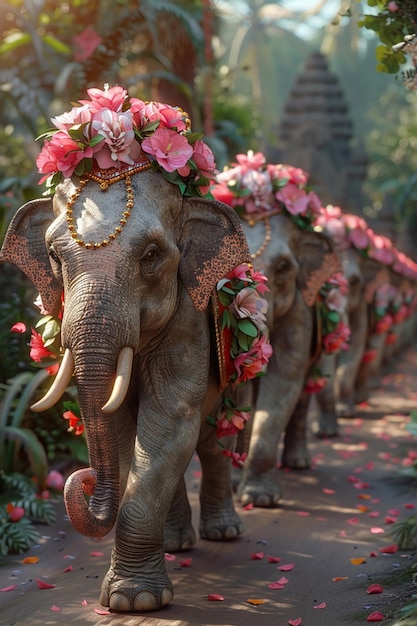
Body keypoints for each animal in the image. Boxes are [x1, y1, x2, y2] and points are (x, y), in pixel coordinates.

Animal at [0, 88, 266, 608]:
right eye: (54, 256)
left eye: (151, 256)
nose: (79, 479)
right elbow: (124, 426)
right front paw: (132, 596)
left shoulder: (189, 319)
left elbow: (169, 418)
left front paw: (132, 602)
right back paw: (177, 543)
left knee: (212, 438)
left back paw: (222, 533)